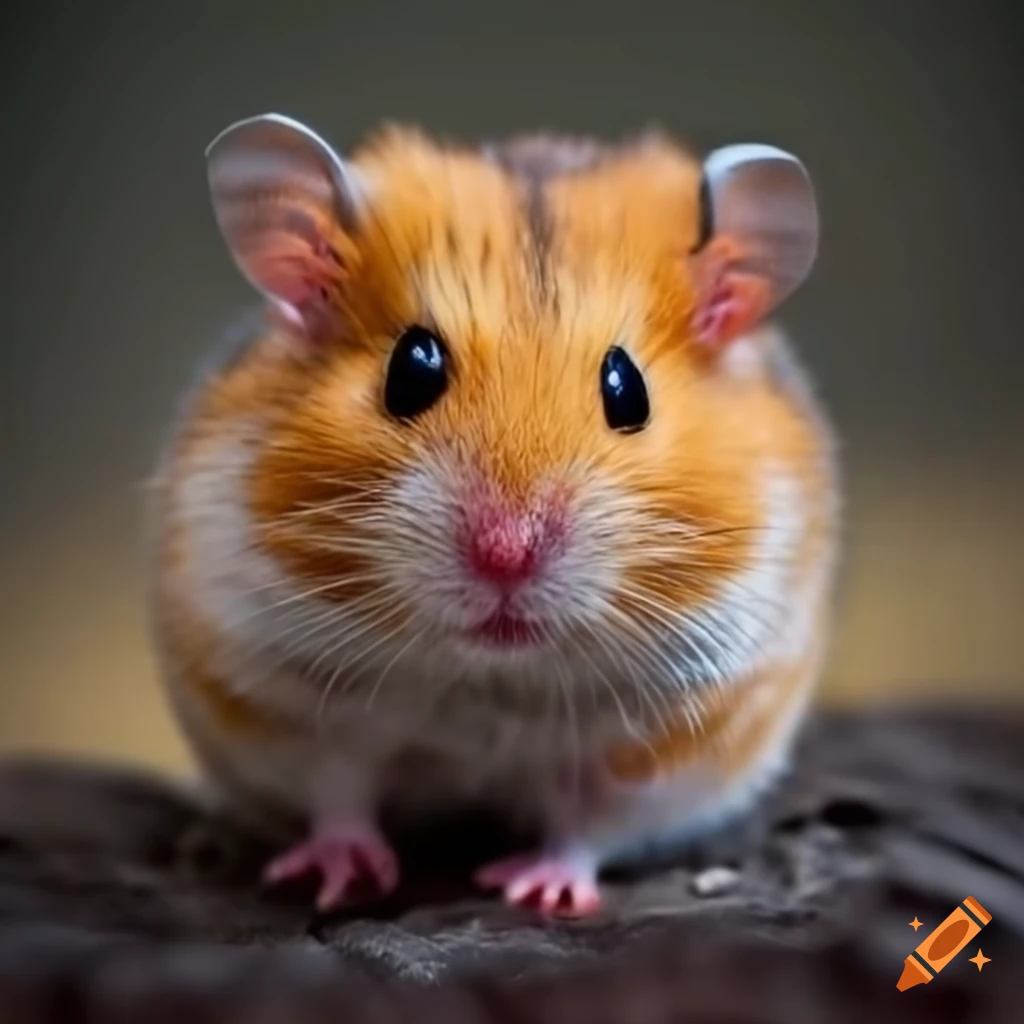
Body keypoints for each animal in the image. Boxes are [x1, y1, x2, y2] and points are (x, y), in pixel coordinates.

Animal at [150, 113, 837, 917]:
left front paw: (539, 893)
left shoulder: (651, 749)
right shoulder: (292, 706)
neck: (487, 676)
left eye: (627, 388)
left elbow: (583, 827)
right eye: (411, 369)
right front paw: (339, 877)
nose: (505, 556)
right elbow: (339, 793)